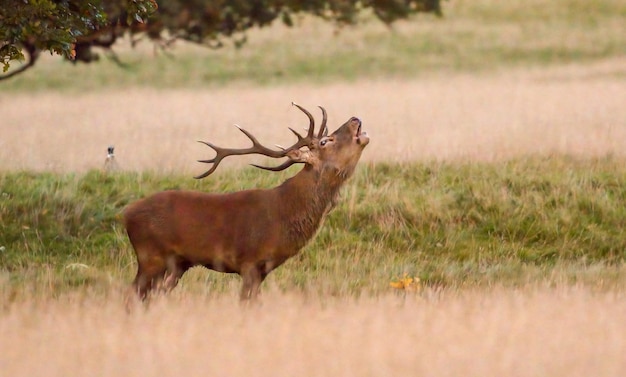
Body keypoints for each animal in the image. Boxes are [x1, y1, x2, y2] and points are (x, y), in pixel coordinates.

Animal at [122, 103, 368, 300]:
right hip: (150, 255)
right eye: (326, 141)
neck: (283, 214)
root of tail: (125, 213)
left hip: (177, 264)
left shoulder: (263, 270)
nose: (355, 119)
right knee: (132, 294)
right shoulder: (249, 260)